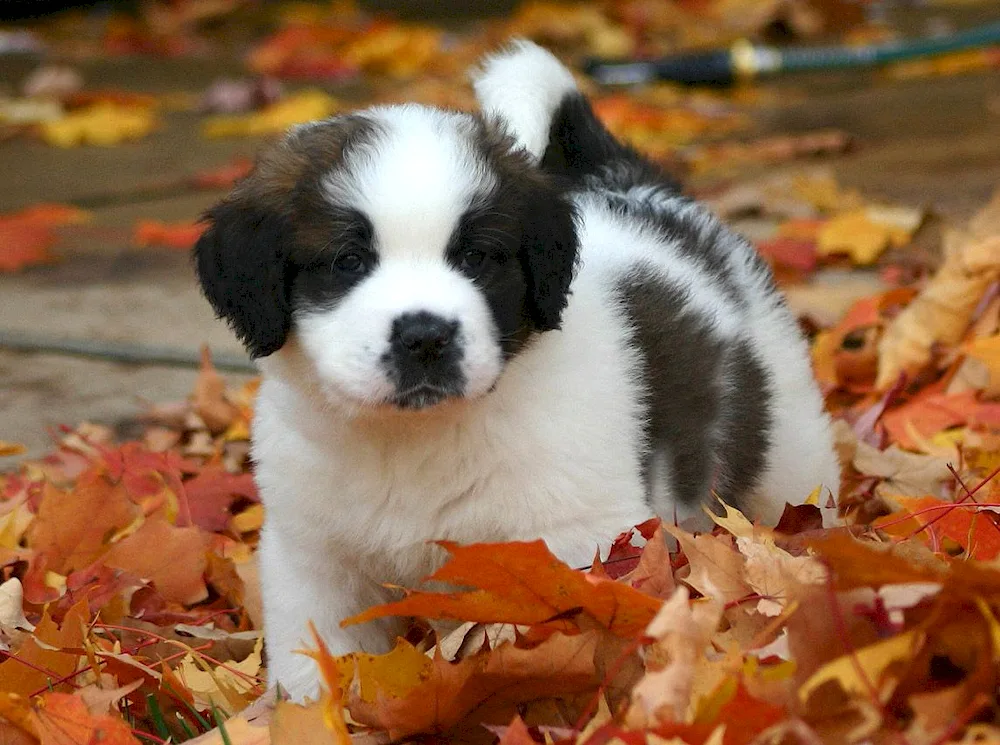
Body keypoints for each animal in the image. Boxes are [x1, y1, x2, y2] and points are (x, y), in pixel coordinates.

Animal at [191, 43, 840, 700]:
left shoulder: (580, 540)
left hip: (790, 448)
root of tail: (644, 192)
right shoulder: (313, 556)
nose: (425, 336)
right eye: (347, 261)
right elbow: (318, 660)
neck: (413, 441)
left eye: (476, 256)